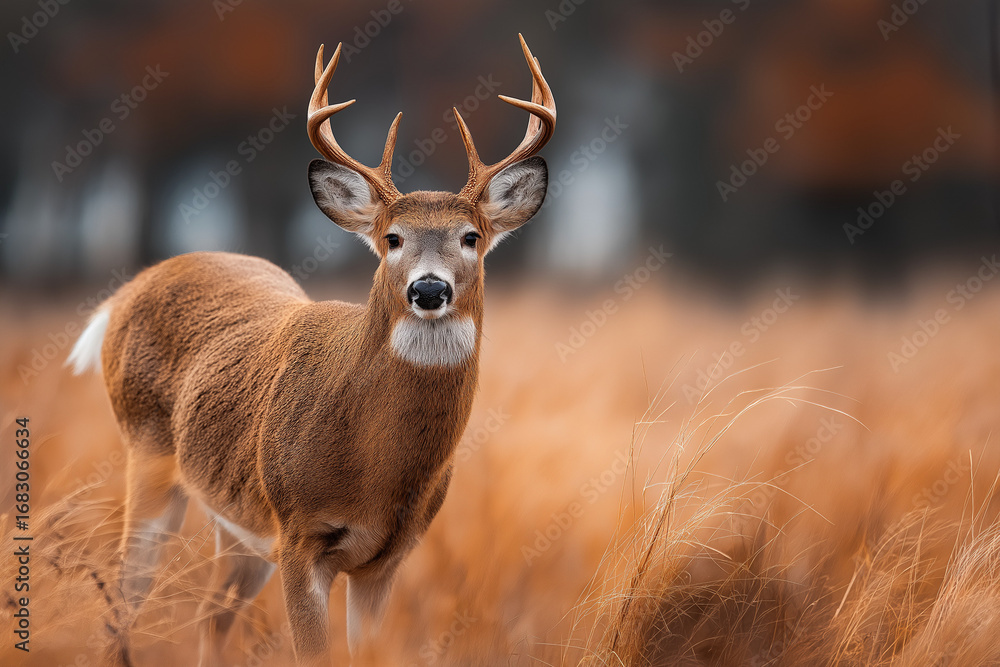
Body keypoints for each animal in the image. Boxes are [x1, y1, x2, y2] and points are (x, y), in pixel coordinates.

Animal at [65, 34, 555, 666]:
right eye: (392, 238)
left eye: (471, 237)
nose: (429, 289)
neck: (374, 473)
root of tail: (128, 290)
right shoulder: (300, 535)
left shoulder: (386, 558)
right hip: (146, 456)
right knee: (123, 600)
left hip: (237, 520)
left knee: (210, 614)